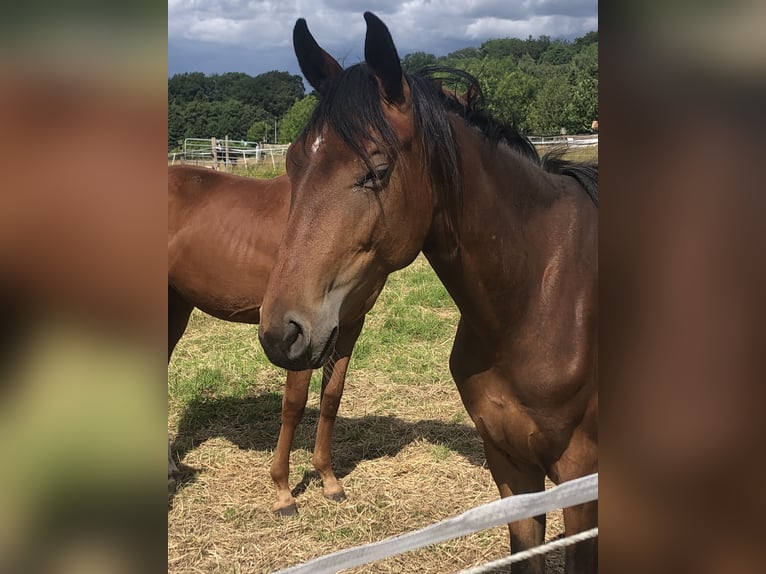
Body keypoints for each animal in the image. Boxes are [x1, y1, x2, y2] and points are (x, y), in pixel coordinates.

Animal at [168, 164, 366, 516]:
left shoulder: (347, 326)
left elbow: (331, 397)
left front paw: (329, 480)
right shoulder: (299, 335)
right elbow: (294, 405)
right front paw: (284, 492)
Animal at [260, 13, 604, 574]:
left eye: (376, 172)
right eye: (292, 165)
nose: (279, 332)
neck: (540, 297)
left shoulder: (581, 483)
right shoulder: (512, 468)